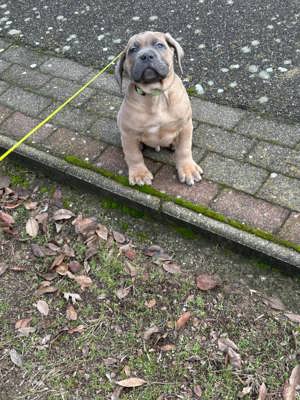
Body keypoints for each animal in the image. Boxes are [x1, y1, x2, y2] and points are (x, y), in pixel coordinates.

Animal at [115, 31, 204, 186]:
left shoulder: (186, 125)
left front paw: (187, 169)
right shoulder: (128, 133)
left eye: (159, 45)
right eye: (133, 50)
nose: (145, 56)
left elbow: (184, 149)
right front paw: (139, 173)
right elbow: (133, 155)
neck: (156, 95)